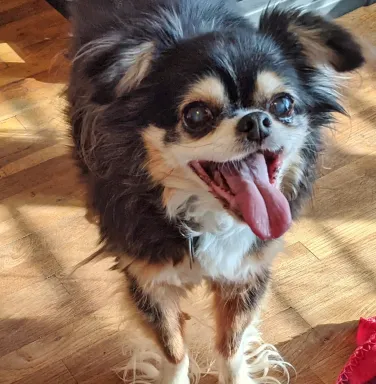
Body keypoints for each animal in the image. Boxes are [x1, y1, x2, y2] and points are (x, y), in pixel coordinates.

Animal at [68, 1, 368, 382]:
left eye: (283, 105)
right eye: (196, 115)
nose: (256, 121)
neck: (207, 214)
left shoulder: (247, 272)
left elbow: (231, 345)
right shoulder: (149, 281)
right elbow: (173, 349)